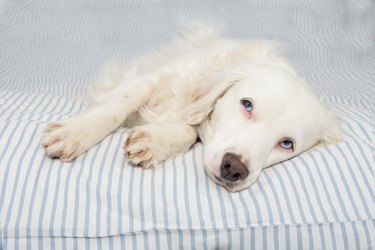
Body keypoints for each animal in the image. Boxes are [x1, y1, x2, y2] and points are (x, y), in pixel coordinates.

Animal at [42, 24, 342, 191]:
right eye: (247, 105)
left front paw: (155, 142)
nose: (233, 168)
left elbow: (189, 131)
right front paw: (75, 133)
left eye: (287, 144)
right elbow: (118, 106)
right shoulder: (149, 78)